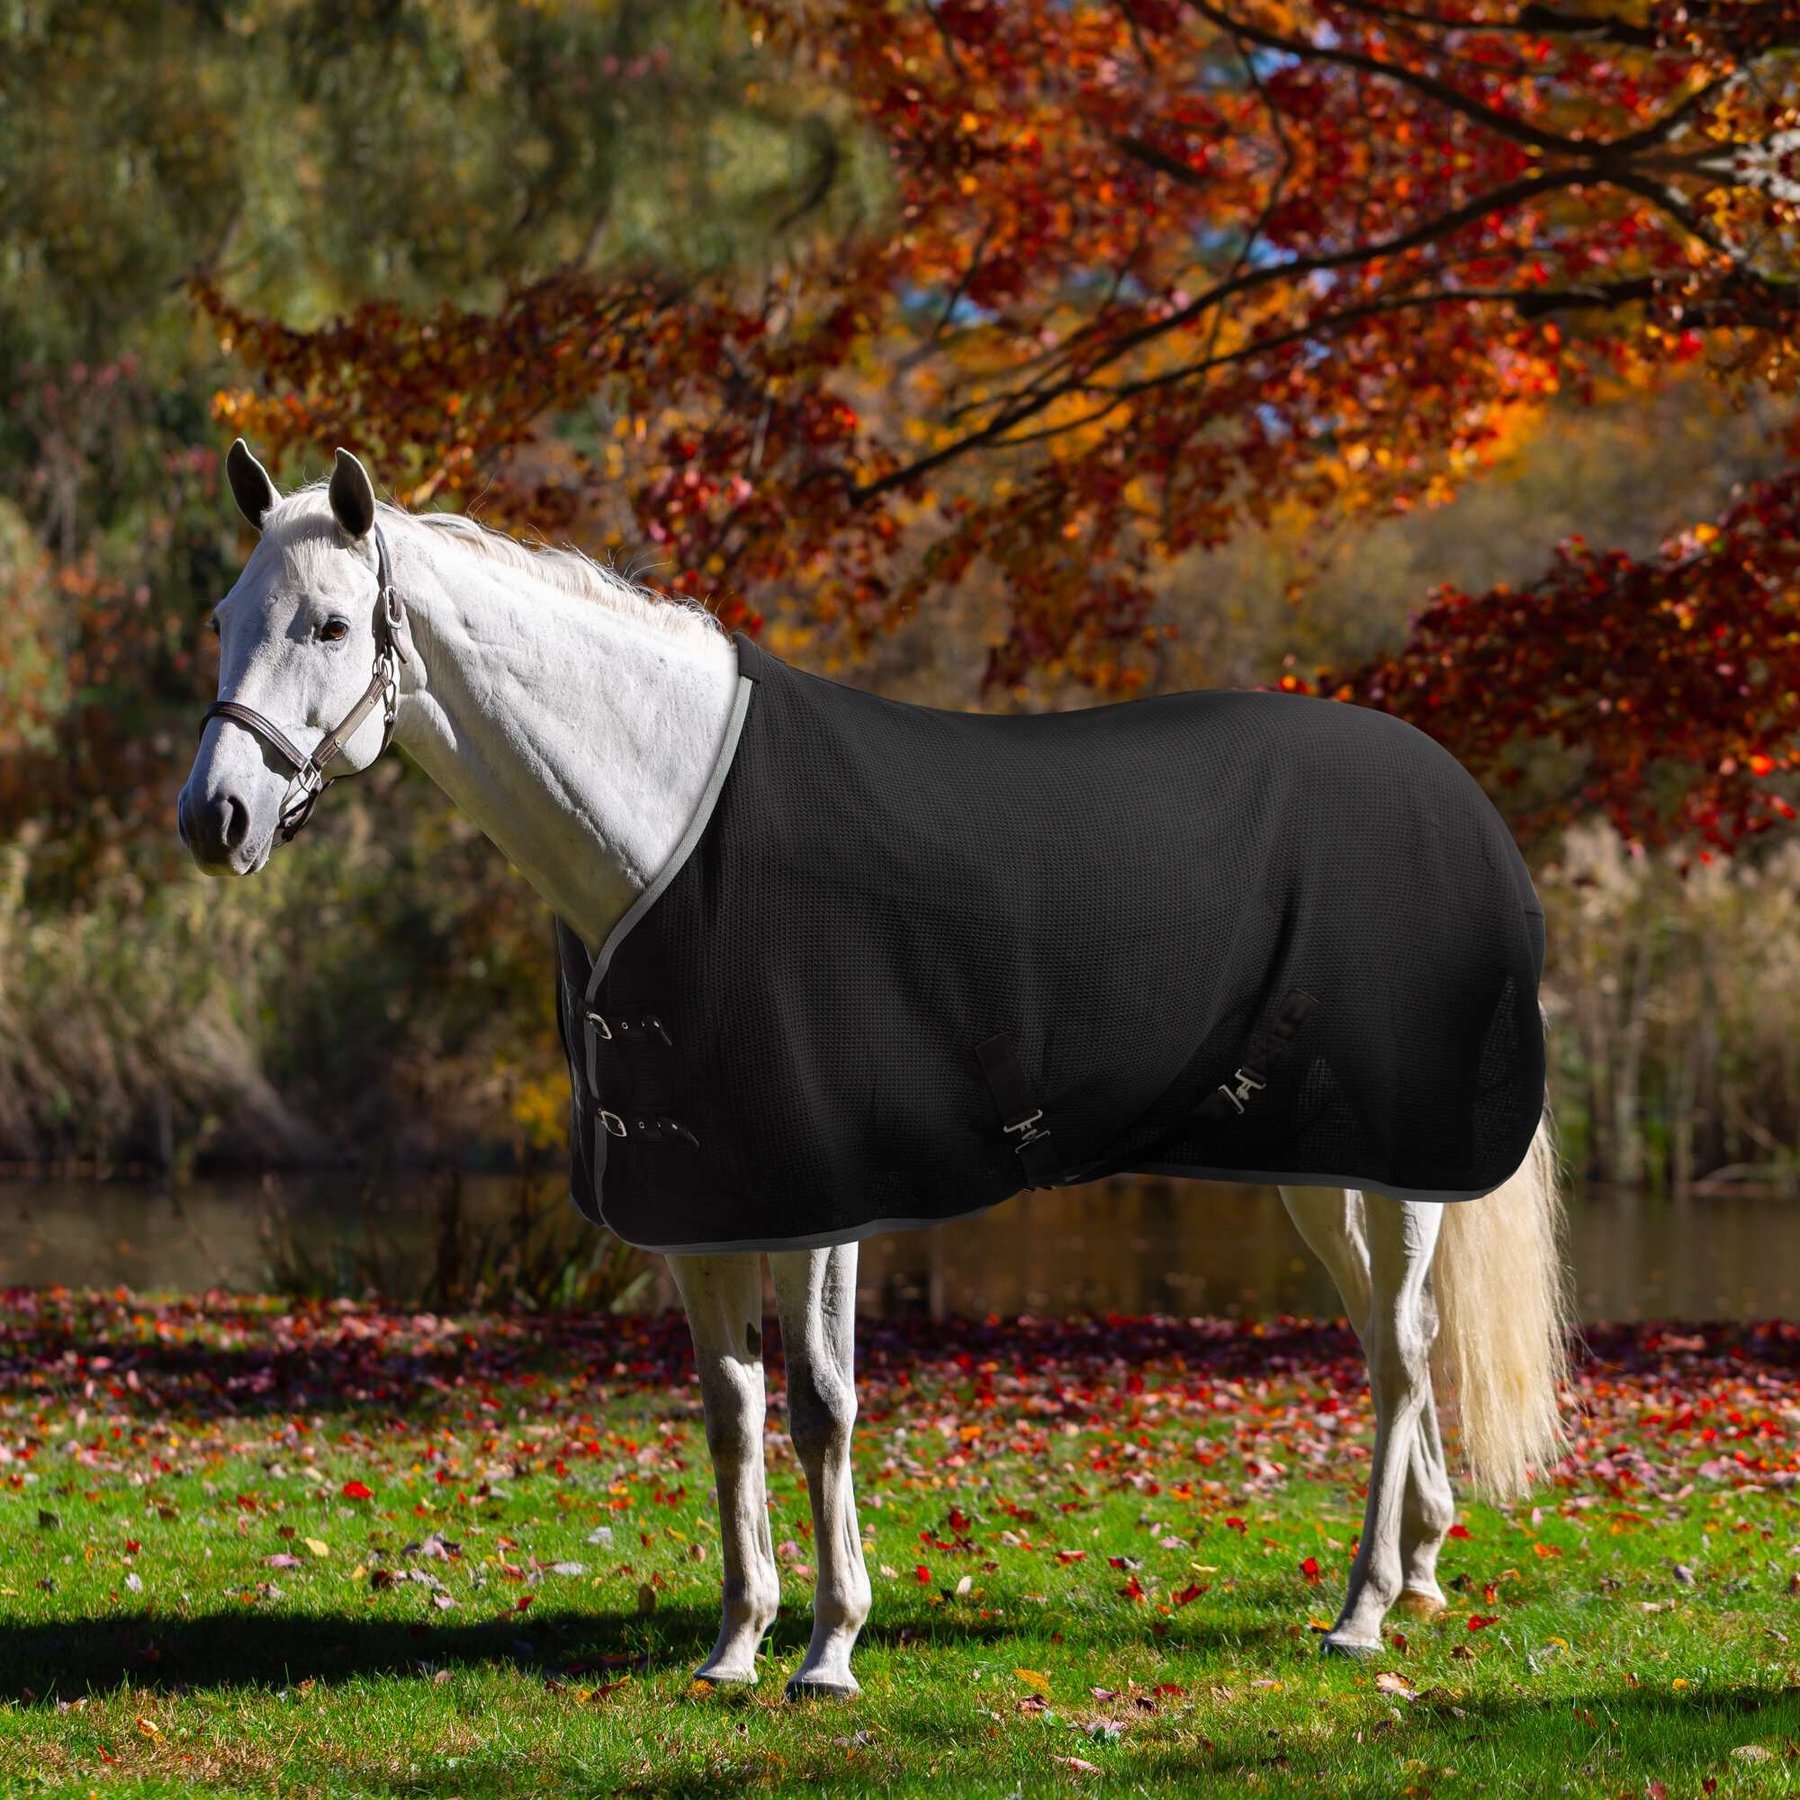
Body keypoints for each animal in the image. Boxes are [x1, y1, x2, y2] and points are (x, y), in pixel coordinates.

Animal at [178, 440, 1572, 1696]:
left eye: (331, 622)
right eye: (224, 619)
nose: (215, 817)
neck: (668, 834)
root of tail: (1452, 789)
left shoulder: (823, 1197)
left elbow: (820, 1405)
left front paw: (831, 1649)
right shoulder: (704, 1201)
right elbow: (729, 1410)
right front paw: (735, 1646)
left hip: (1400, 1169)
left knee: (1402, 1351)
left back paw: (1364, 1612)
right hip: (1315, 1164)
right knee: (1393, 1339)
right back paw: (1426, 1568)